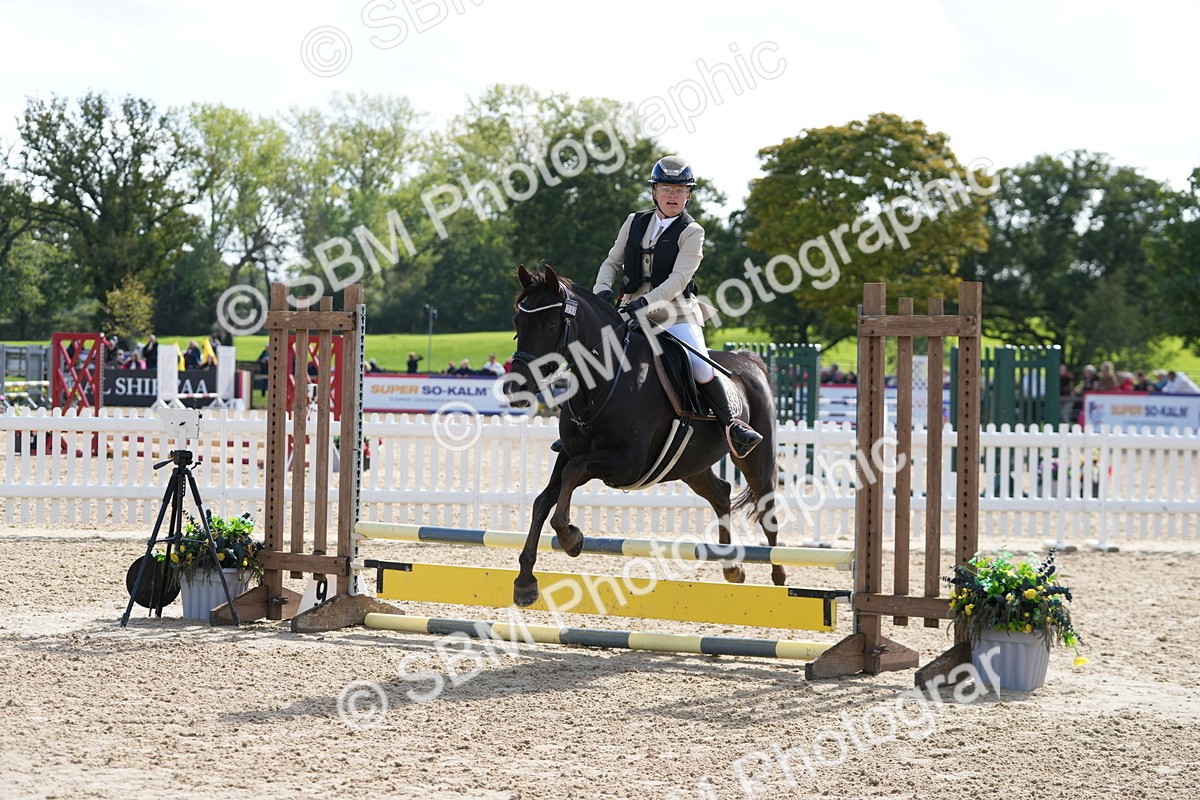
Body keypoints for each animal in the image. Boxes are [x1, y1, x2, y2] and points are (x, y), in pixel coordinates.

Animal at [504, 264, 784, 607]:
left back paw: (779, 577)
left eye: (552, 323)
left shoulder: (627, 463)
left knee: (767, 509)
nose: (515, 389)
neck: (603, 378)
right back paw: (731, 566)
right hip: (689, 464)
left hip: (755, 458)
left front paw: (571, 537)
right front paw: (525, 580)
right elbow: (543, 501)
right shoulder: (570, 452)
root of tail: (750, 360)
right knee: (721, 493)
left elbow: (574, 473)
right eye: (517, 321)